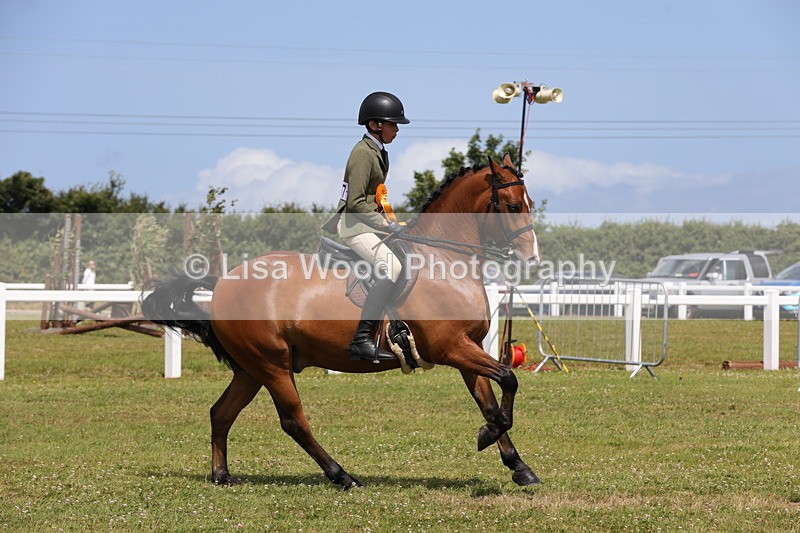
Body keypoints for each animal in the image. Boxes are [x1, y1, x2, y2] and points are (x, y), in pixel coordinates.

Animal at [142, 153, 542, 490]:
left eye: (529, 204)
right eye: (511, 206)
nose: (532, 258)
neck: (441, 258)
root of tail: (223, 283)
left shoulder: (467, 350)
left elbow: (491, 402)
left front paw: (517, 465)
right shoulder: (451, 348)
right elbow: (509, 379)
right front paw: (487, 437)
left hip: (250, 369)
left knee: (221, 413)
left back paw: (222, 475)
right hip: (272, 365)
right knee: (293, 421)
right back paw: (342, 476)